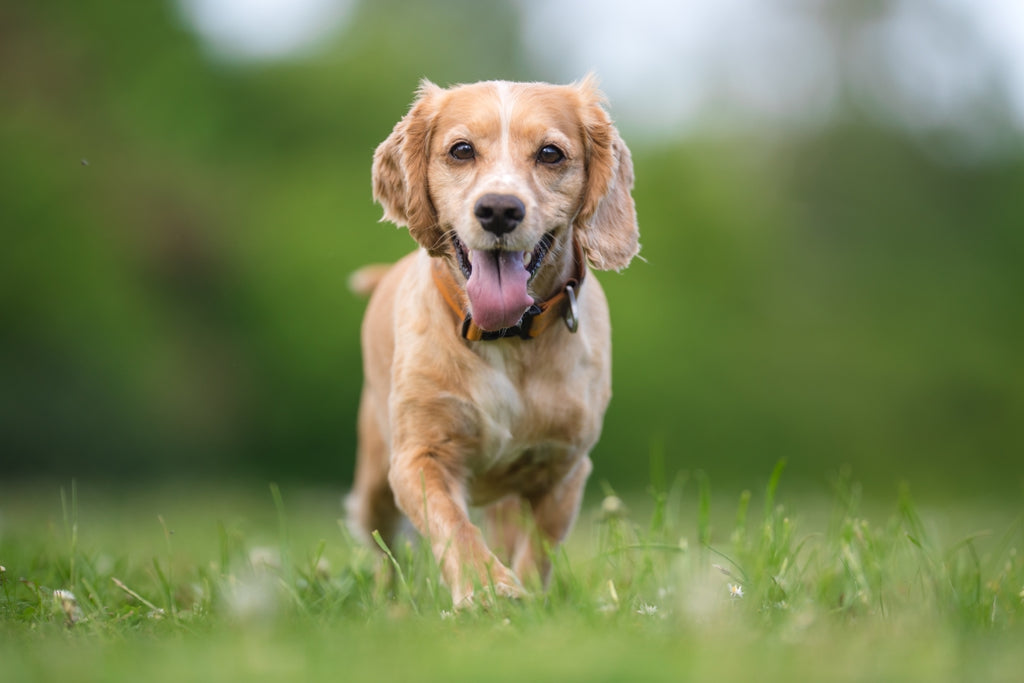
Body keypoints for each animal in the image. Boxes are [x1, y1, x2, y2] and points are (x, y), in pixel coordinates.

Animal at [350, 76, 638, 610]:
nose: (500, 209)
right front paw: (487, 589)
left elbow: (540, 544)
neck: (506, 338)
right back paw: (388, 602)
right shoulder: (419, 456)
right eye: (461, 150)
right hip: (374, 479)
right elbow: (452, 524)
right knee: (384, 550)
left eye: (550, 153)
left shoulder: (564, 467)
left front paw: (526, 596)